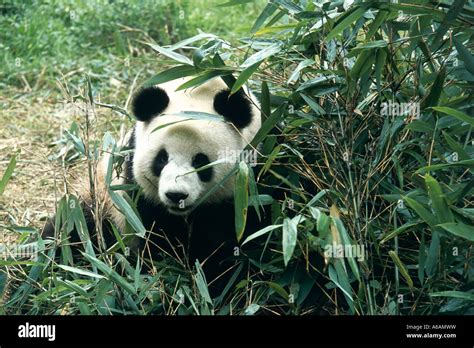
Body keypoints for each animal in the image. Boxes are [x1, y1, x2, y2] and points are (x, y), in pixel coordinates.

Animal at [42, 77, 268, 290]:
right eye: (162, 158)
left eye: (200, 161)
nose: (176, 195)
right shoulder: (133, 185)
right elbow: (151, 233)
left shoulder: (252, 177)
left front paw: (214, 278)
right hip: (101, 203)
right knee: (73, 229)